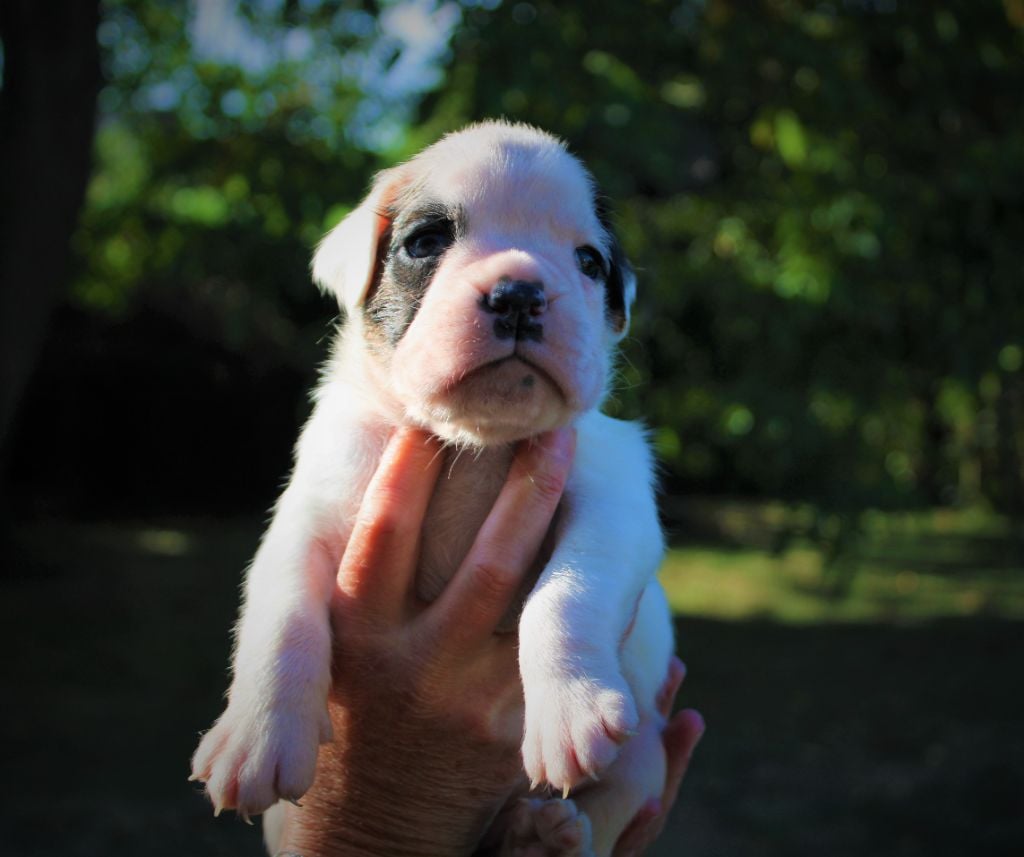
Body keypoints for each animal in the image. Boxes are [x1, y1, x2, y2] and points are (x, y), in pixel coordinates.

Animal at [191, 120, 674, 856]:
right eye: (425, 242)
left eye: (589, 262)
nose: (519, 292)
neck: (474, 444)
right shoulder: (309, 515)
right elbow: (280, 618)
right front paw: (255, 734)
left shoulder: (613, 499)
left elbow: (567, 591)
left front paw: (570, 706)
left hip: (646, 754)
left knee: (609, 803)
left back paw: (546, 831)